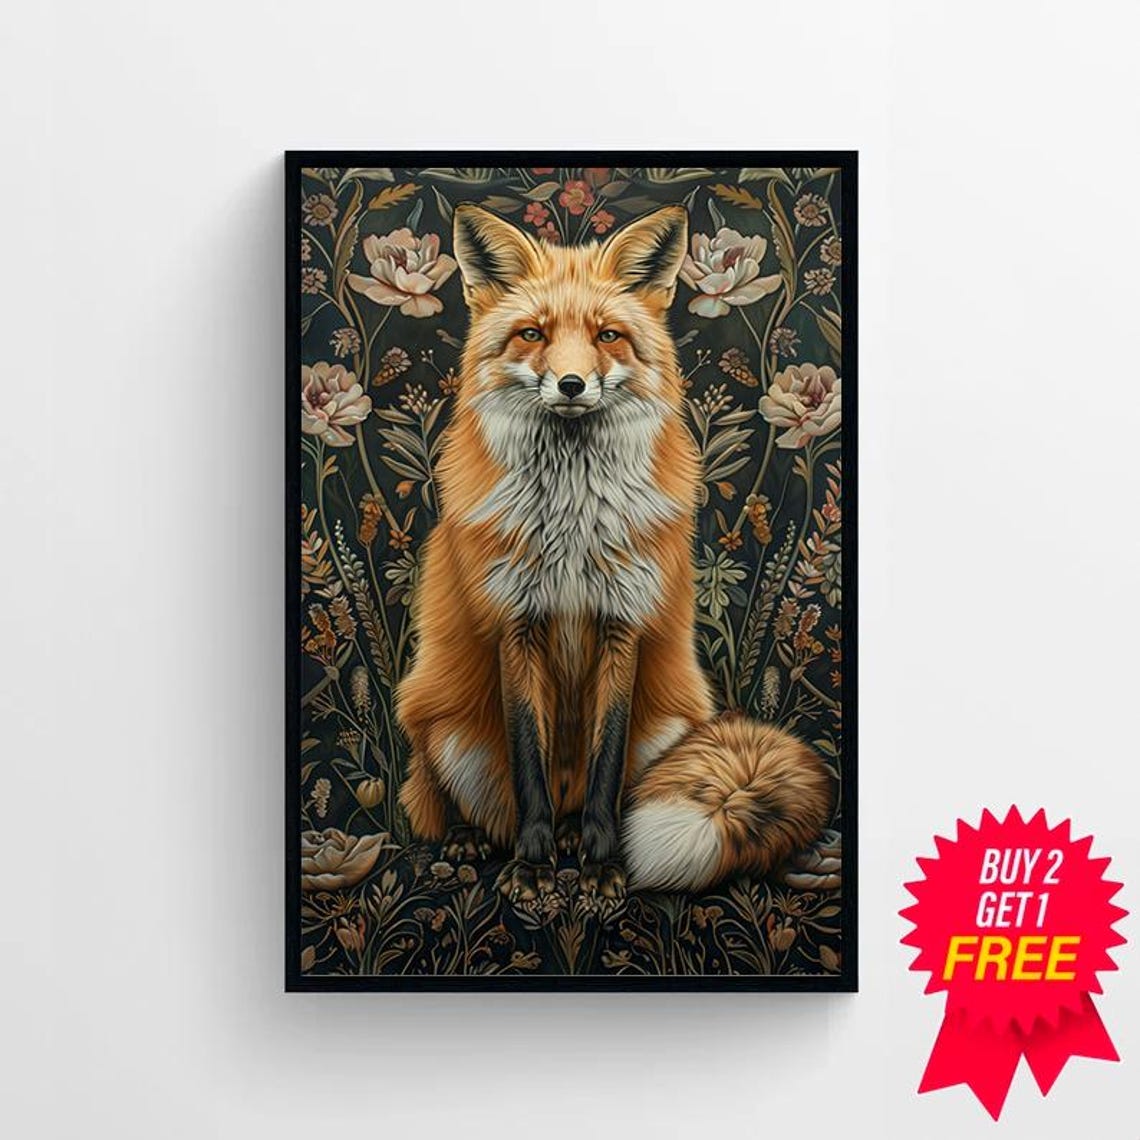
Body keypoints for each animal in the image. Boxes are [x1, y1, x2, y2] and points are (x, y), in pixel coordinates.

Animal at [396, 202, 833, 902]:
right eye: (531, 334)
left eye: (607, 336)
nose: (572, 384)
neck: (572, 526)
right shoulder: (515, 624)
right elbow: (528, 762)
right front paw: (532, 864)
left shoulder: (622, 622)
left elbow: (606, 760)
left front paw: (601, 866)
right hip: (440, 723)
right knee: (448, 799)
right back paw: (473, 840)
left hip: (671, 726)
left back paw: (580, 838)